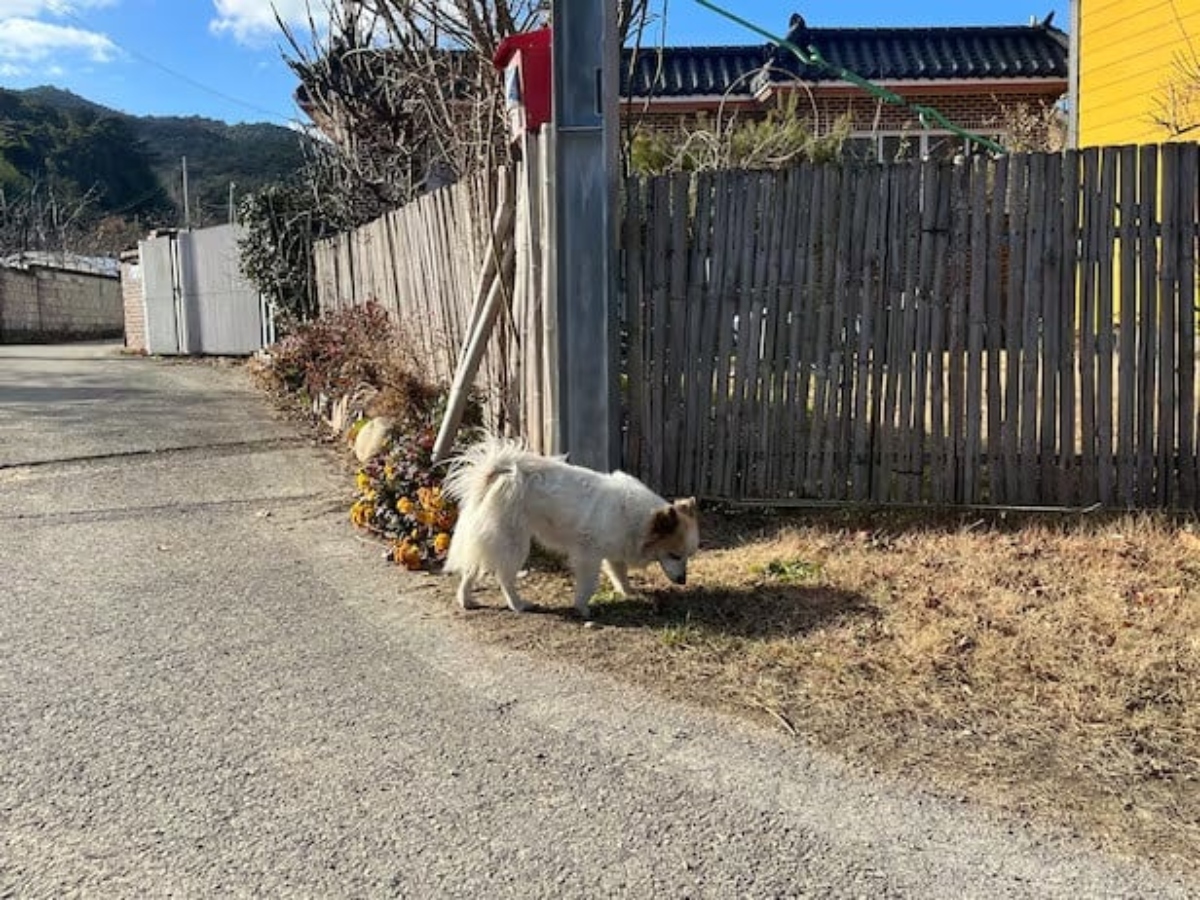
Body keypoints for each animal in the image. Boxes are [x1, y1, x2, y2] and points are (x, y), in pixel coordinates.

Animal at [446, 436, 700, 619]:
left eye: (687, 556)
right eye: (674, 555)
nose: (683, 581)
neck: (638, 518)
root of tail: (501, 475)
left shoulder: (614, 553)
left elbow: (620, 575)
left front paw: (629, 592)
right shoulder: (589, 556)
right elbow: (588, 585)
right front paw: (582, 608)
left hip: (485, 541)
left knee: (470, 571)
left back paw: (466, 601)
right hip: (515, 546)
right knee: (505, 579)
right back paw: (518, 605)